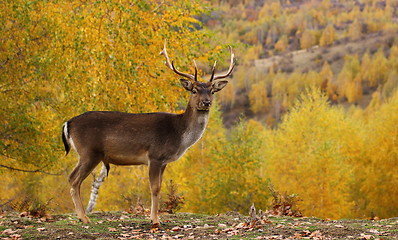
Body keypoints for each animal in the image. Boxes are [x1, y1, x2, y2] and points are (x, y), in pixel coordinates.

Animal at [61, 42, 235, 228]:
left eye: (212, 91)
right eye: (194, 90)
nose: (206, 102)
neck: (178, 134)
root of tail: (68, 123)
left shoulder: (164, 161)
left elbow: (160, 186)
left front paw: (156, 218)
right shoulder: (155, 156)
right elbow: (155, 188)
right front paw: (155, 220)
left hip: (87, 154)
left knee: (73, 178)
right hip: (89, 152)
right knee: (74, 179)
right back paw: (84, 218)